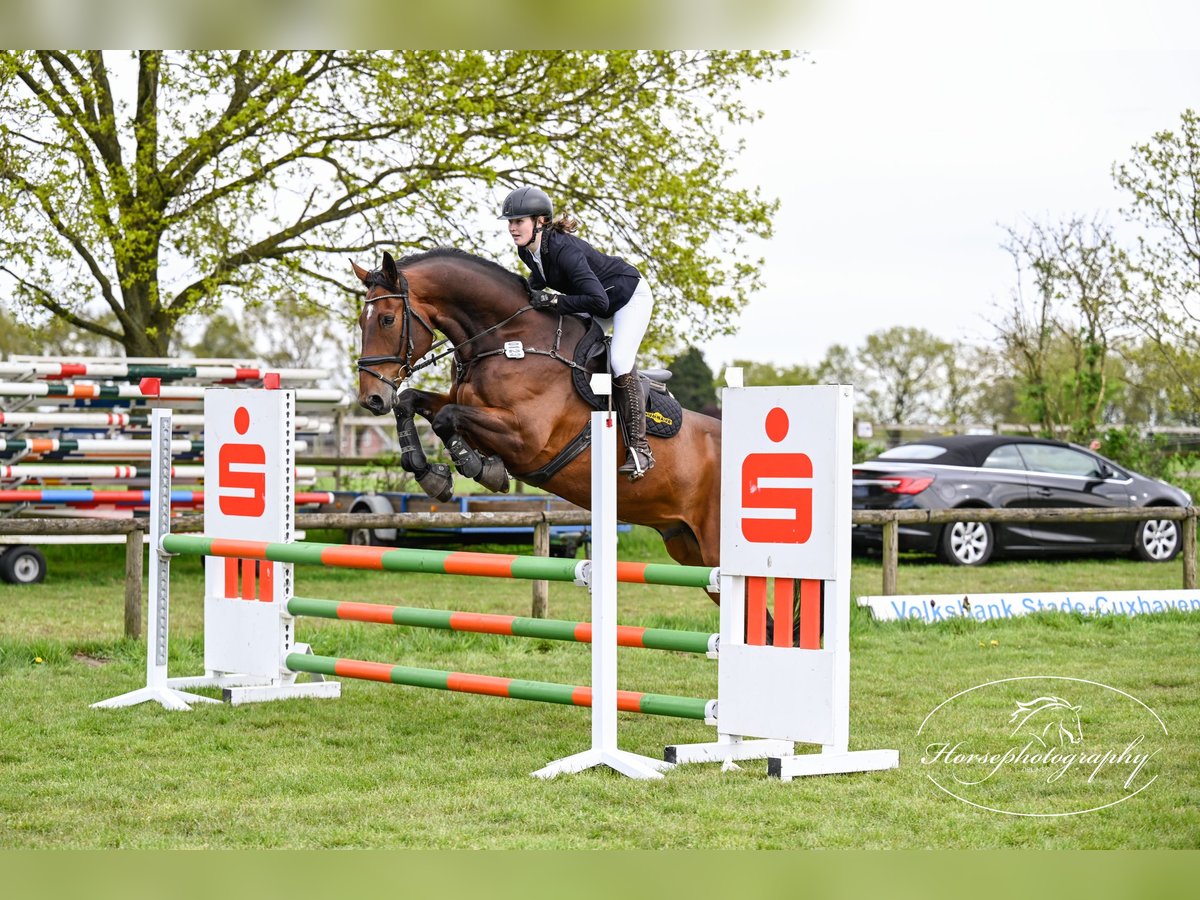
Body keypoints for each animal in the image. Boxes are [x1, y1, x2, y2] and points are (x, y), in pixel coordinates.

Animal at [348, 250, 720, 595]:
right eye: (362, 322)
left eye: (387, 319)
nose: (371, 398)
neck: (509, 341)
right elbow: (411, 403)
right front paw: (432, 476)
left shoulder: (527, 438)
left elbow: (445, 418)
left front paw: (481, 469)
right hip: (687, 546)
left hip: (713, 549)